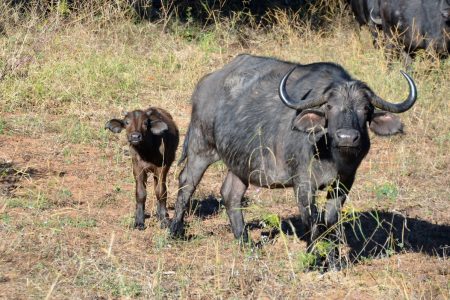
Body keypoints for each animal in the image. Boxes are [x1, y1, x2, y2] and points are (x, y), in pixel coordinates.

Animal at [170, 54, 418, 260]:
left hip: (240, 163)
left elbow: (330, 221)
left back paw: (245, 243)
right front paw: (314, 257)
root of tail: (205, 83)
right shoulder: (303, 184)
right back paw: (174, 230)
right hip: (201, 147)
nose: (347, 137)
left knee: (231, 194)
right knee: (186, 182)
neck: (331, 156)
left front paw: (333, 259)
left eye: (366, 108)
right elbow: (312, 221)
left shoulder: (344, 183)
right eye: (329, 106)